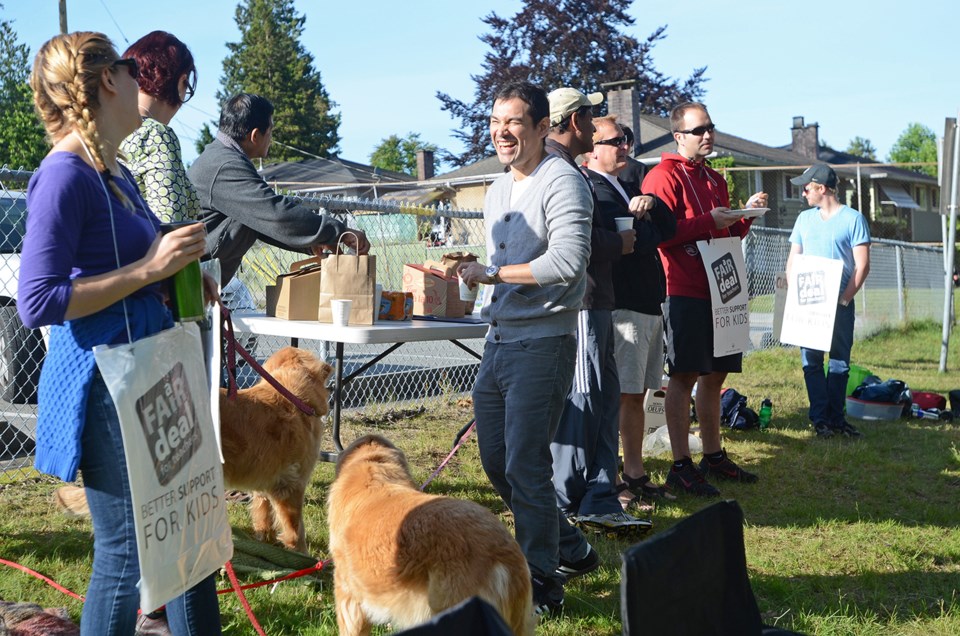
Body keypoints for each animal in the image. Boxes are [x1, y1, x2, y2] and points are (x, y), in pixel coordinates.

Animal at [58, 346, 334, 556]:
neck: (293, 398)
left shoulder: (265, 486)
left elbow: (262, 516)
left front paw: (265, 542)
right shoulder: (291, 488)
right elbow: (296, 530)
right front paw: (303, 560)